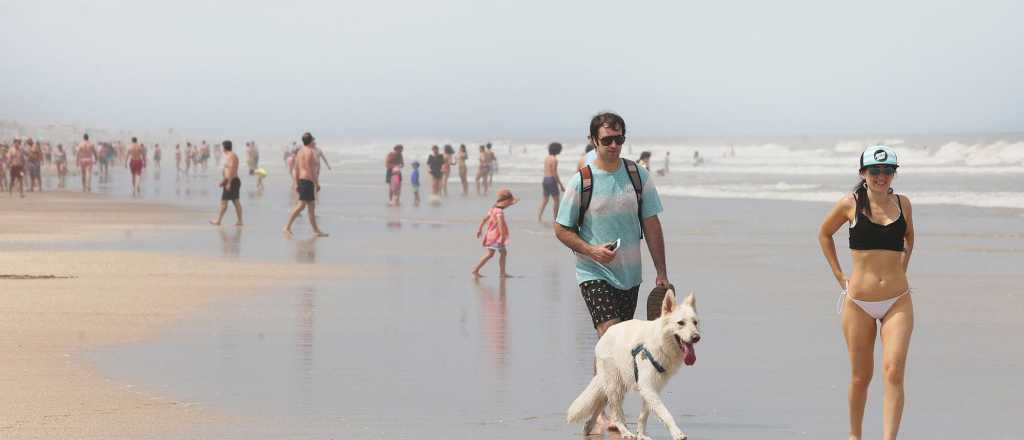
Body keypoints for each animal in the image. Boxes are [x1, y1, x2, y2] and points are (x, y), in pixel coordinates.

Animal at [565, 290, 700, 437]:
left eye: (695, 322)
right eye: (680, 323)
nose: (696, 337)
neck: (660, 342)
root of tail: (605, 335)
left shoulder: (651, 387)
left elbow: (643, 415)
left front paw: (641, 435)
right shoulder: (647, 386)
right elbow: (665, 413)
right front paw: (677, 433)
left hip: (616, 384)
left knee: (601, 403)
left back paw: (589, 426)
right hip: (615, 385)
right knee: (615, 414)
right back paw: (625, 432)